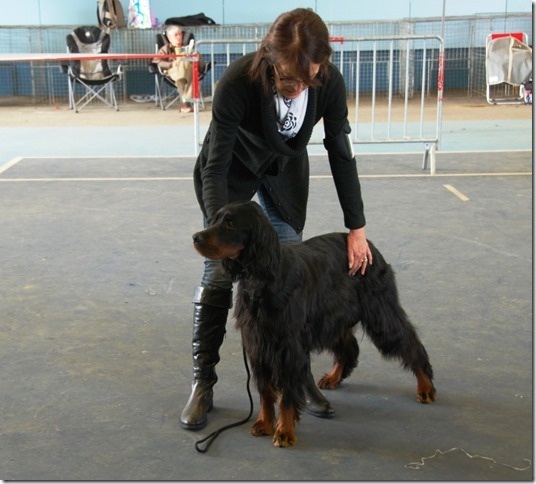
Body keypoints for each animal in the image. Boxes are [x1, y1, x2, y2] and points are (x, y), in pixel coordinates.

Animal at [193, 199, 436, 446]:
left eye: (230, 223)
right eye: (214, 219)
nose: (196, 237)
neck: (261, 277)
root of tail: (368, 246)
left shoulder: (287, 346)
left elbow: (287, 395)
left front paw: (284, 431)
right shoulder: (258, 343)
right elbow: (266, 391)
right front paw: (264, 423)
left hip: (380, 313)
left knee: (409, 341)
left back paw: (426, 386)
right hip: (333, 319)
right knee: (349, 347)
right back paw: (333, 377)